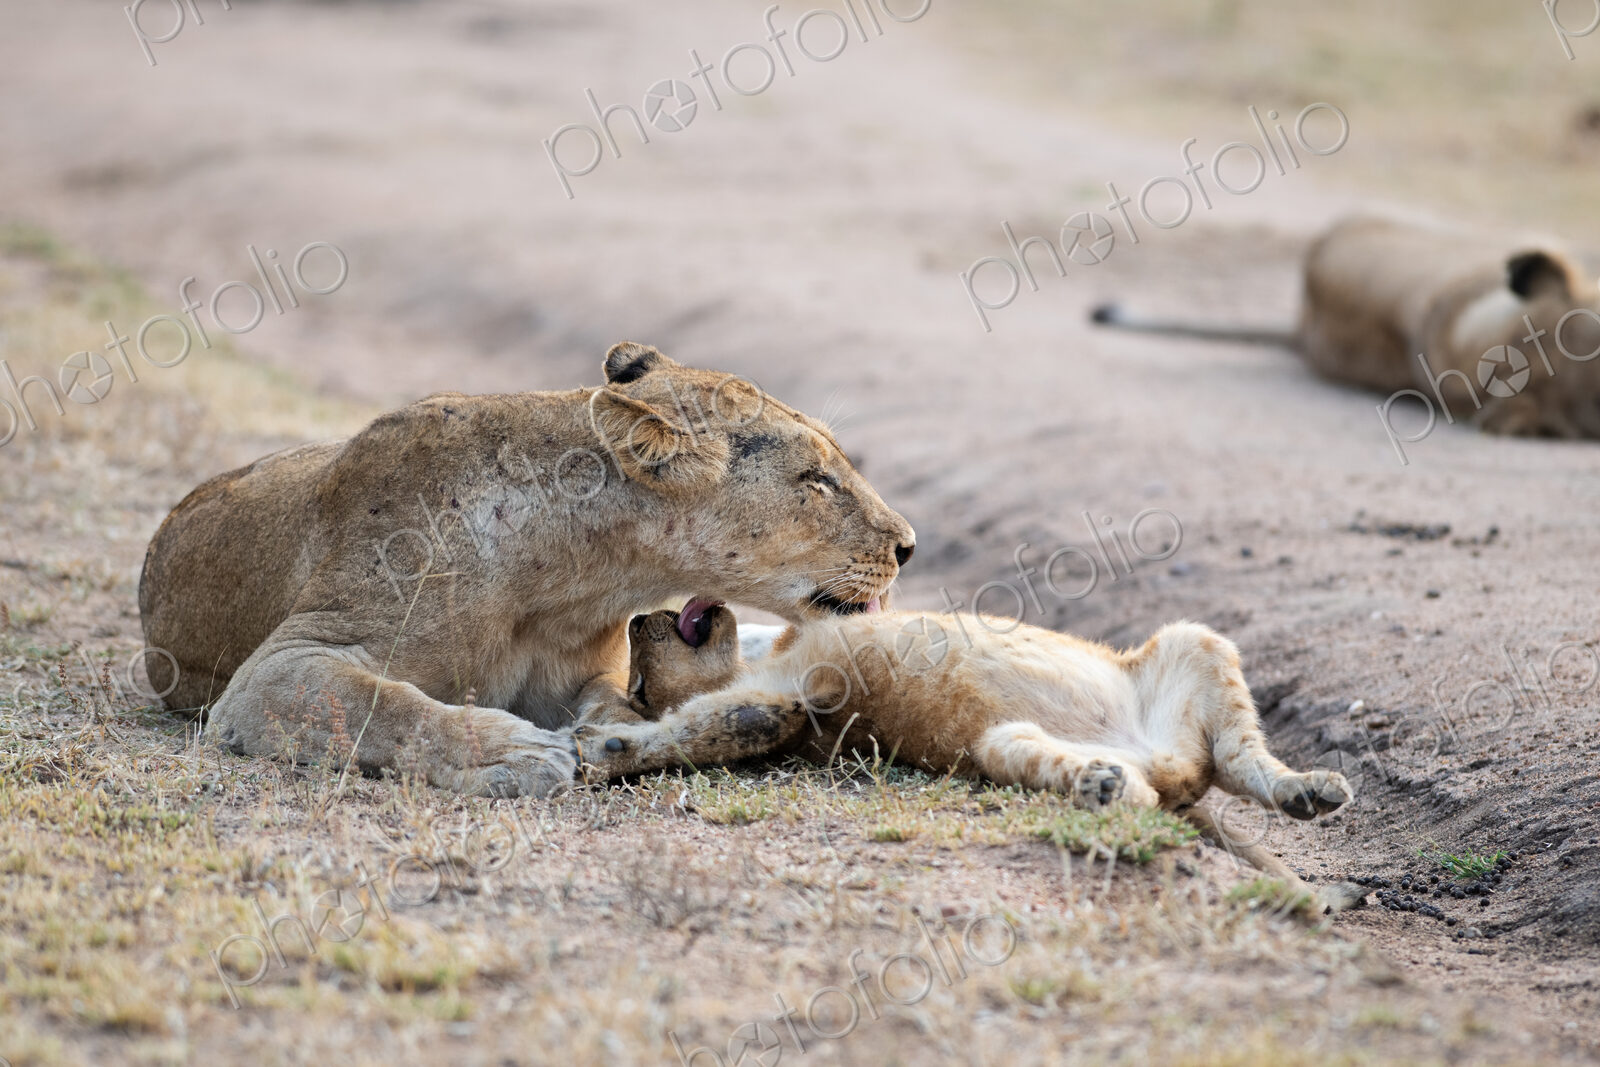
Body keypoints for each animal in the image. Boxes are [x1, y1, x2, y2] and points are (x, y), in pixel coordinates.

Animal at [137, 343, 916, 797]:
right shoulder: (278, 668)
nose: (909, 545)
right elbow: (383, 706)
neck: (578, 575)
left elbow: (615, 704)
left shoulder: (585, 671)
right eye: (816, 479)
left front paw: (618, 738)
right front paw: (512, 751)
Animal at [577, 600, 1360, 906]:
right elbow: (716, 724)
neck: (761, 655)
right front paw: (610, 748)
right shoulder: (787, 697)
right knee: (1160, 781)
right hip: (1002, 741)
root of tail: (1172, 775)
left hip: (1194, 642)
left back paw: (1310, 789)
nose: (641, 618)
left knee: (1244, 758)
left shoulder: (792, 672)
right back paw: (1109, 785)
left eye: (637, 676)